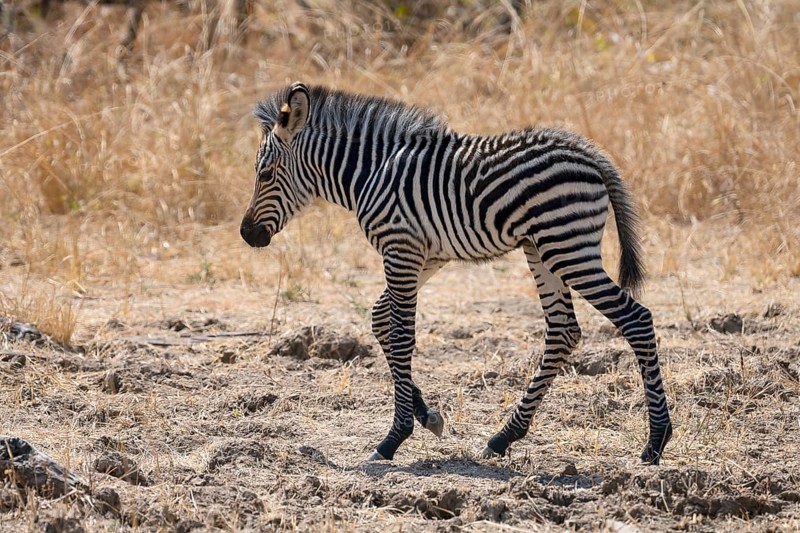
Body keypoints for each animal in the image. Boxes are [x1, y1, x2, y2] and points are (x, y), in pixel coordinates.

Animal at [240, 82, 673, 464]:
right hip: (542, 249)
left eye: (266, 174)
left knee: (635, 319)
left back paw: (655, 441)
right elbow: (381, 320)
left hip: (567, 248)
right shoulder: (426, 256)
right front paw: (427, 416)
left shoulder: (401, 249)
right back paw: (503, 437)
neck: (371, 172)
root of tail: (588, 153)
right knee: (564, 330)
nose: (247, 234)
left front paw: (394, 438)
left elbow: (401, 336)